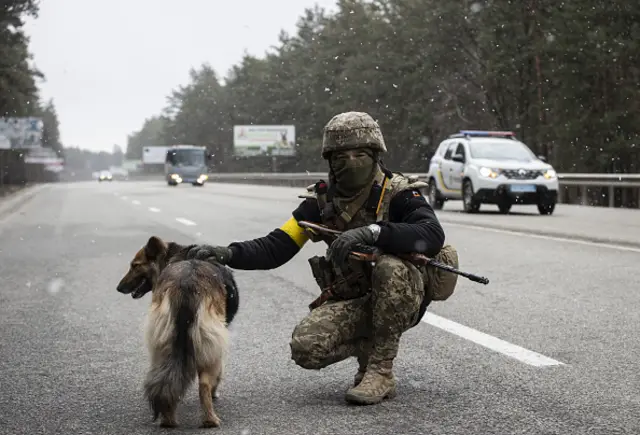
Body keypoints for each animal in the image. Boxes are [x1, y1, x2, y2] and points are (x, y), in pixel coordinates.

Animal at [116, 237, 239, 428]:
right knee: (203, 385)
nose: (118, 288)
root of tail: (186, 284)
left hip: (161, 344)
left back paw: (168, 419)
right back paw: (210, 420)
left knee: (163, 379)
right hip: (210, 346)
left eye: (135, 265)